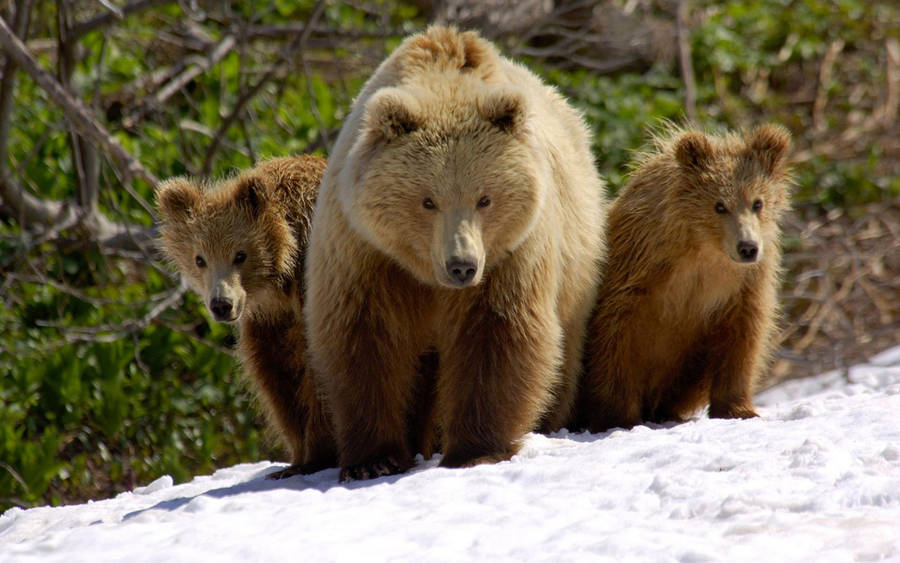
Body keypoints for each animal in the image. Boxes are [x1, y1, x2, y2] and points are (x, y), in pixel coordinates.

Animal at [155, 155, 337, 479]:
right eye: (200, 259)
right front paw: (295, 458)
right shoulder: (270, 322)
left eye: (240, 255)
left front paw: (318, 456)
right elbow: (277, 377)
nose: (221, 304)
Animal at [304, 26, 608, 481]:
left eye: (485, 198)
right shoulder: (366, 252)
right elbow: (364, 339)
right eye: (427, 201)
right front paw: (373, 460)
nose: (461, 265)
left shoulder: (510, 255)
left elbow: (497, 334)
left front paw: (476, 450)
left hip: (576, 263)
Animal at [578, 124, 792, 432]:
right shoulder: (638, 271)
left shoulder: (743, 285)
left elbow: (743, 337)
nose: (747, 247)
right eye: (719, 205)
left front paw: (738, 409)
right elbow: (615, 336)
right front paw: (616, 417)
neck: (703, 250)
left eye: (757, 202)